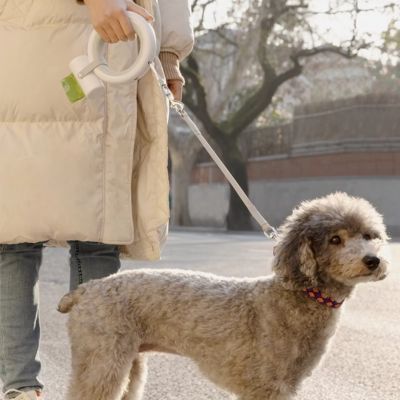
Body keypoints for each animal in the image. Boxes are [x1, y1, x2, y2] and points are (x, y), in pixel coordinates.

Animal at [58, 192, 388, 398]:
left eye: (369, 236)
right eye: (335, 239)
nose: (373, 260)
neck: (298, 295)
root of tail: (85, 290)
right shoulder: (267, 386)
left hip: (128, 362)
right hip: (102, 359)